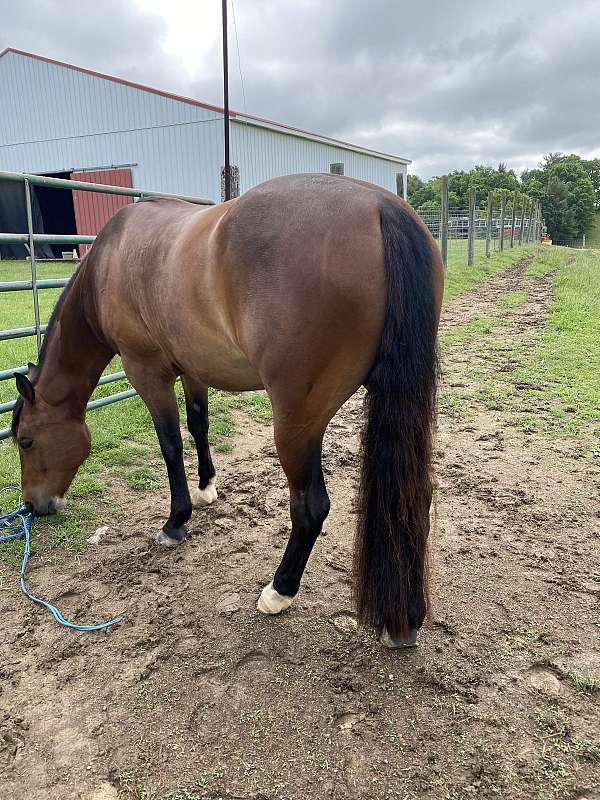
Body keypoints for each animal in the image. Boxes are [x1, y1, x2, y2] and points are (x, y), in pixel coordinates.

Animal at [11, 173, 443, 647]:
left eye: (26, 441)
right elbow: (197, 424)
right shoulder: (192, 366)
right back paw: (406, 619)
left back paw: (279, 591)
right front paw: (206, 488)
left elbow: (169, 443)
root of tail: (383, 208)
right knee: (413, 497)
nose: (33, 506)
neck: (110, 261)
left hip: (297, 422)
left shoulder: (147, 372)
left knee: (311, 507)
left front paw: (175, 522)